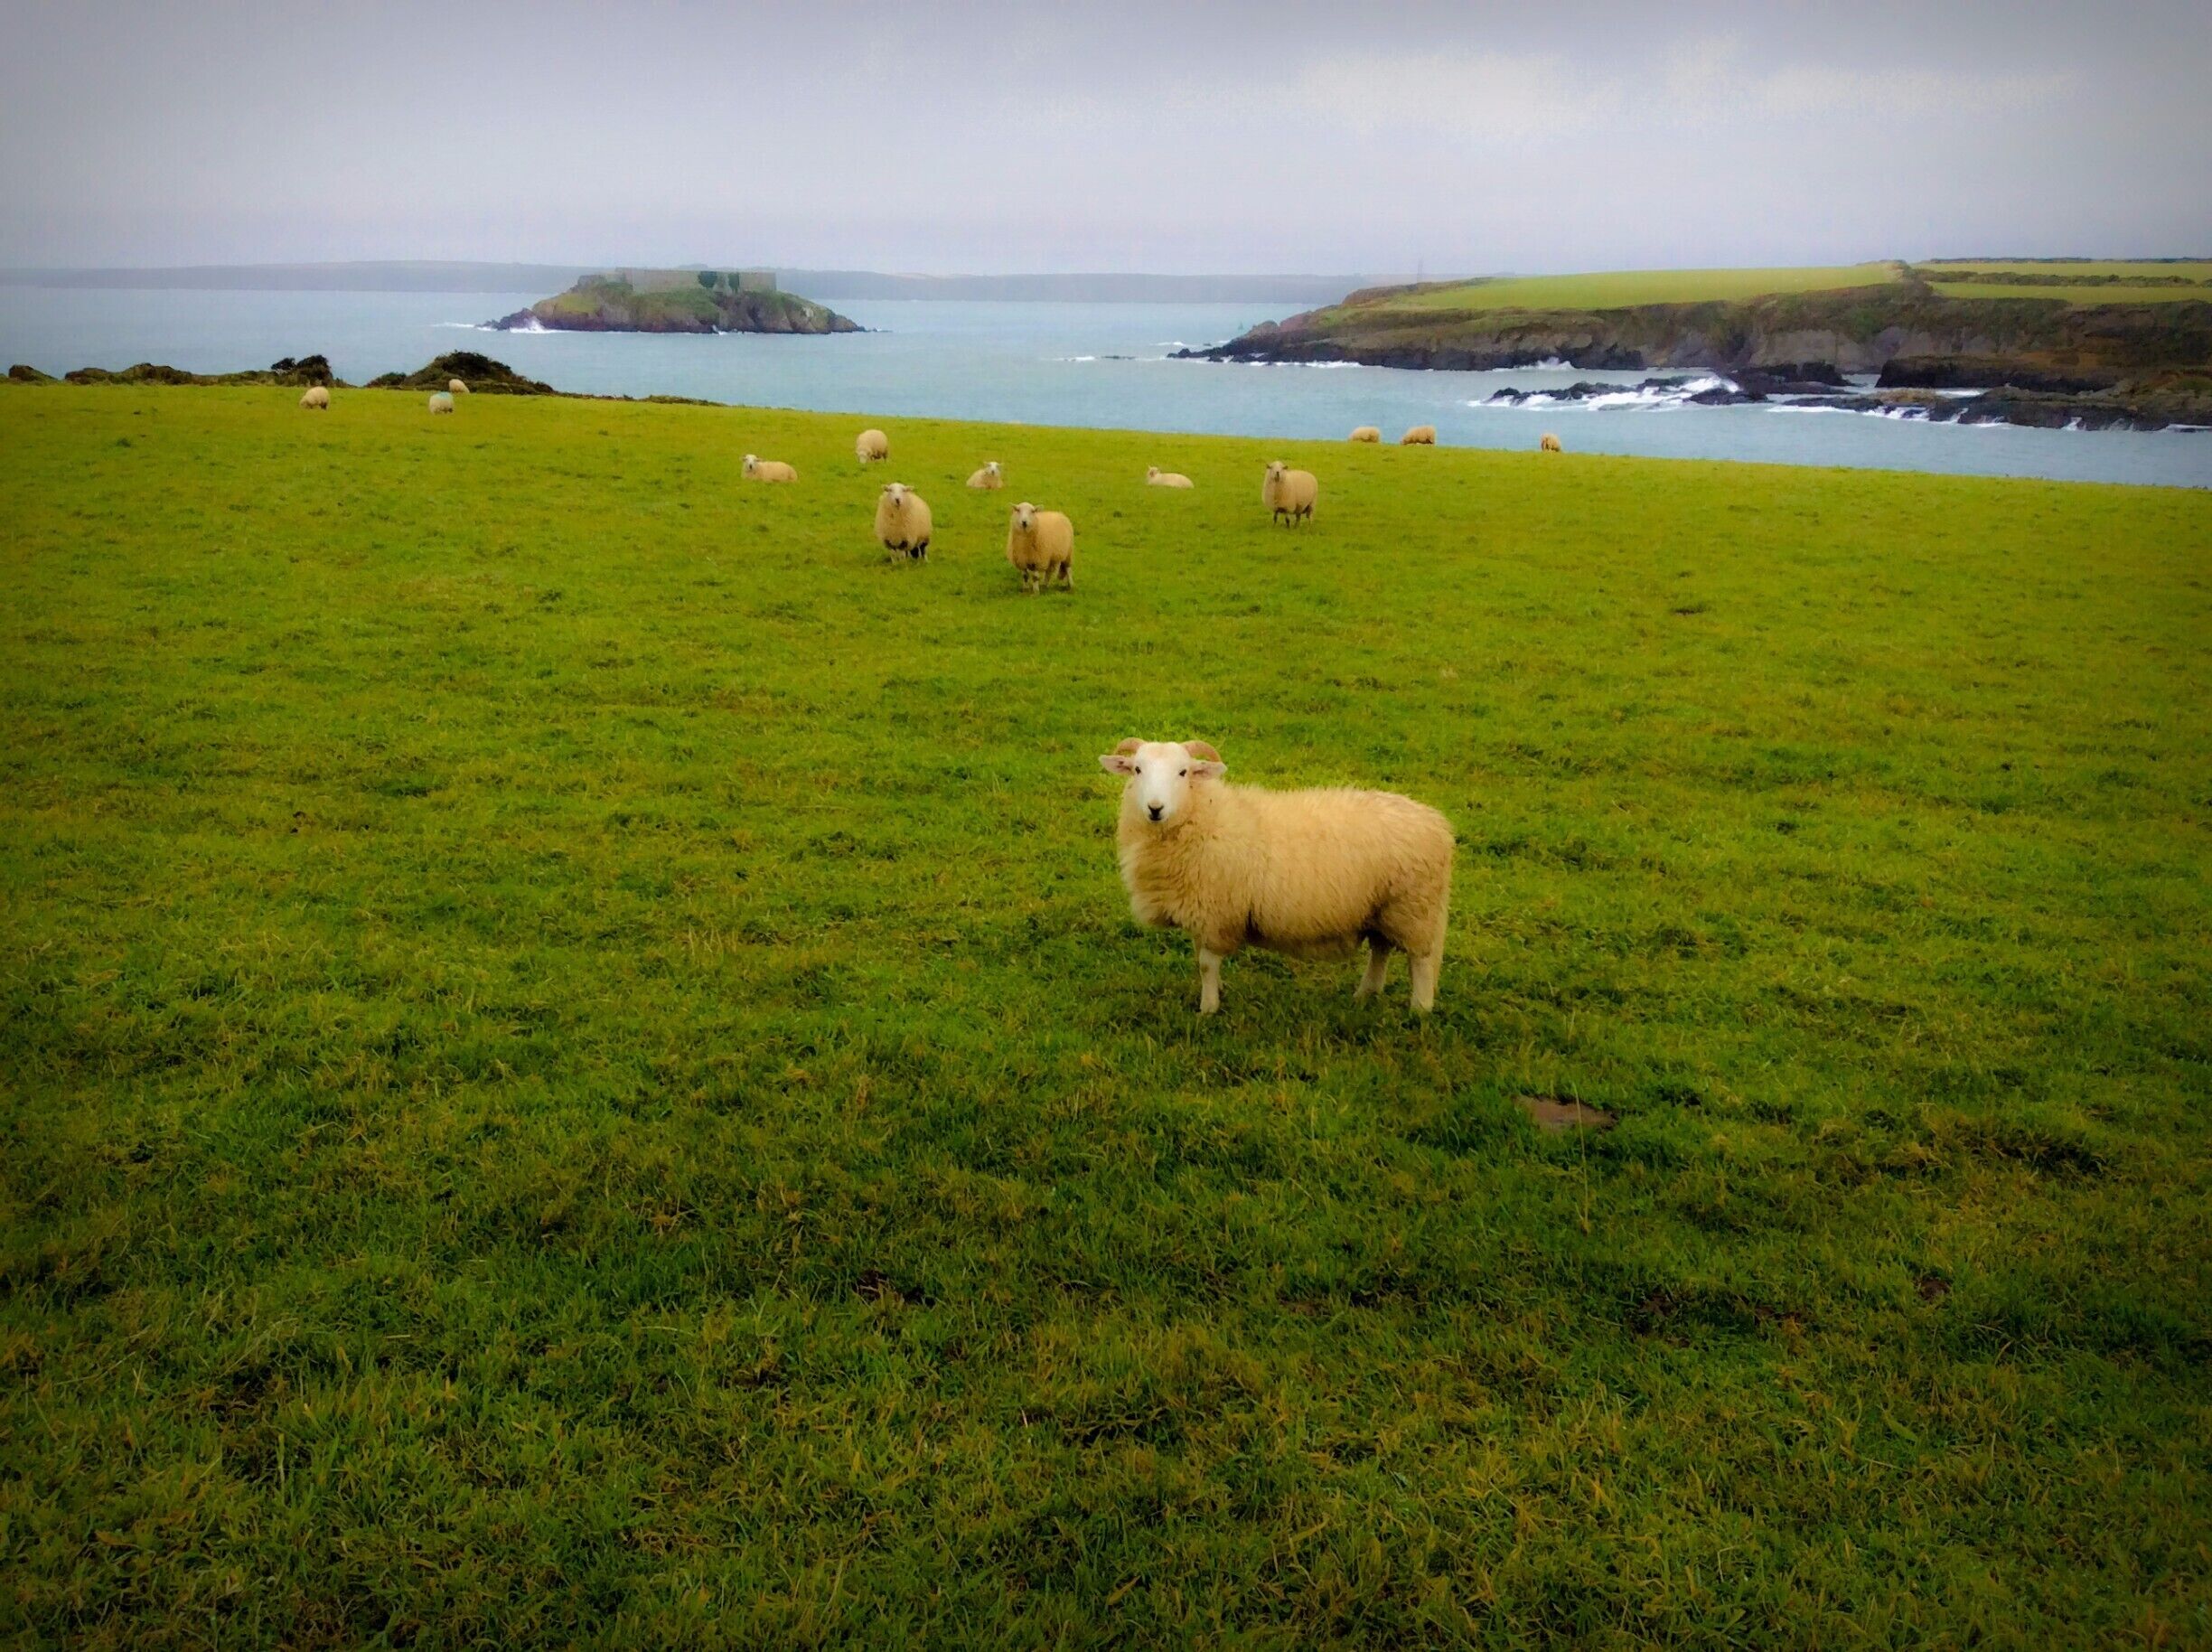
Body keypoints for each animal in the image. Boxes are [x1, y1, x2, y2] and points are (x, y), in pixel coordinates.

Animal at [1099, 739, 1453, 1014]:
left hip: (1414, 909)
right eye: (1137, 769)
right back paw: (1366, 994)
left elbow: (1206, 963)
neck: (1204, 816)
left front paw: (1208, 1008)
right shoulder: (1201, 911)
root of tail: (1437, 823)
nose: (1155, 808)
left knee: (1420, 961)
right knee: (1381, 949)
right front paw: (1219, 991)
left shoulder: (1216, 912)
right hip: (1382, 908)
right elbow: (1202, 960)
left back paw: (1419, 1010)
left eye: (1183, 772)